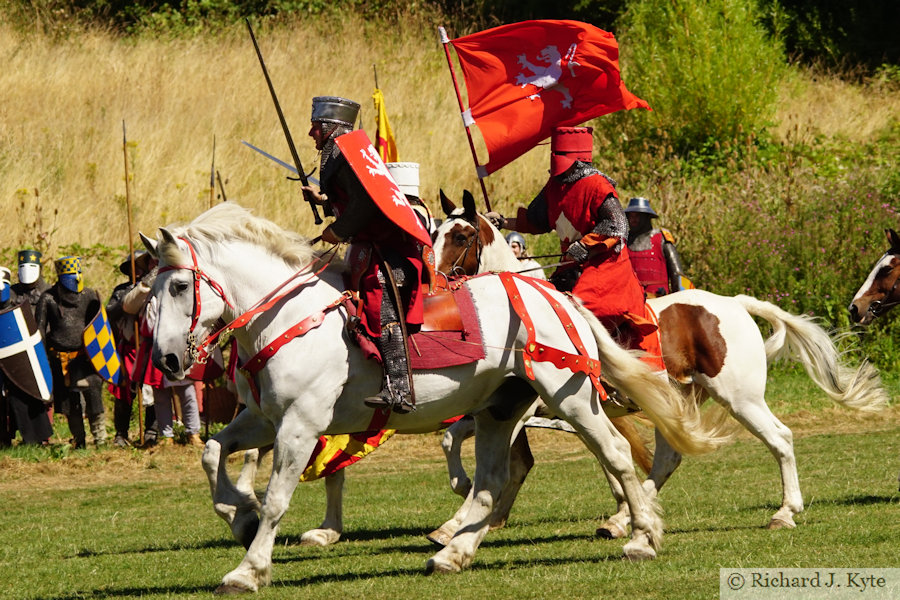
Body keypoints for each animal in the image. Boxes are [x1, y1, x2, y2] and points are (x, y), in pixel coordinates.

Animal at [142, 200, 732, 592]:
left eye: (179, 287)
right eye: (150, 292)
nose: (168, 361)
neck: (290, 316)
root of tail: (549, 294)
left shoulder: (301, 425)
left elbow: (278, 498)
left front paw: (249, 567)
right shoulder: (264, 419)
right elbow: (213, 451)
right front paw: (239, 516)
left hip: (571, 398)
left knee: (616, 455)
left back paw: (640, 536)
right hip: (502, 408)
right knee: (494, 481)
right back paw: (454, 552)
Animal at [432, 190, 888, 536]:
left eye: (462, 235)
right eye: (434, 233)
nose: (435, 281)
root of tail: (735, 304)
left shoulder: (527, 409)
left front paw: (458, 515)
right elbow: (453, 439)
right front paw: (457, 513)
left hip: (740, 398)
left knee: (780, 438)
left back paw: (785, 511)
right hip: (675, 401)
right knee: (668, 458)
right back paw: (621, 521)